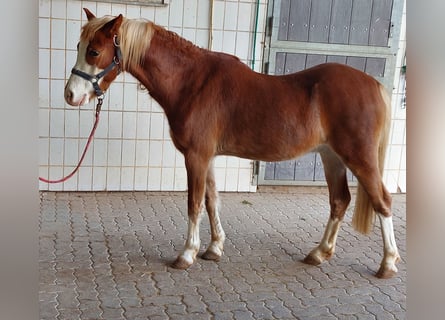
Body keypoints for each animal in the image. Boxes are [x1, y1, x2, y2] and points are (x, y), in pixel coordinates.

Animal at [65, 9, 398, 278]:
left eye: (94, 51)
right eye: (79, 47)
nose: (70, 95)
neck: (192, 82)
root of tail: (373, 84)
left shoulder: (196, 157)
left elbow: (194, 203)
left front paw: (187, 254)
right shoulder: (208, 158)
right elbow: (212, 200)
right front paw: (214, 249)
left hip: (359, 157)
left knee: (382, 201)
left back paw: (387, 264)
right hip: (332, 157)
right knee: (339, 201)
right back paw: (319, 253)